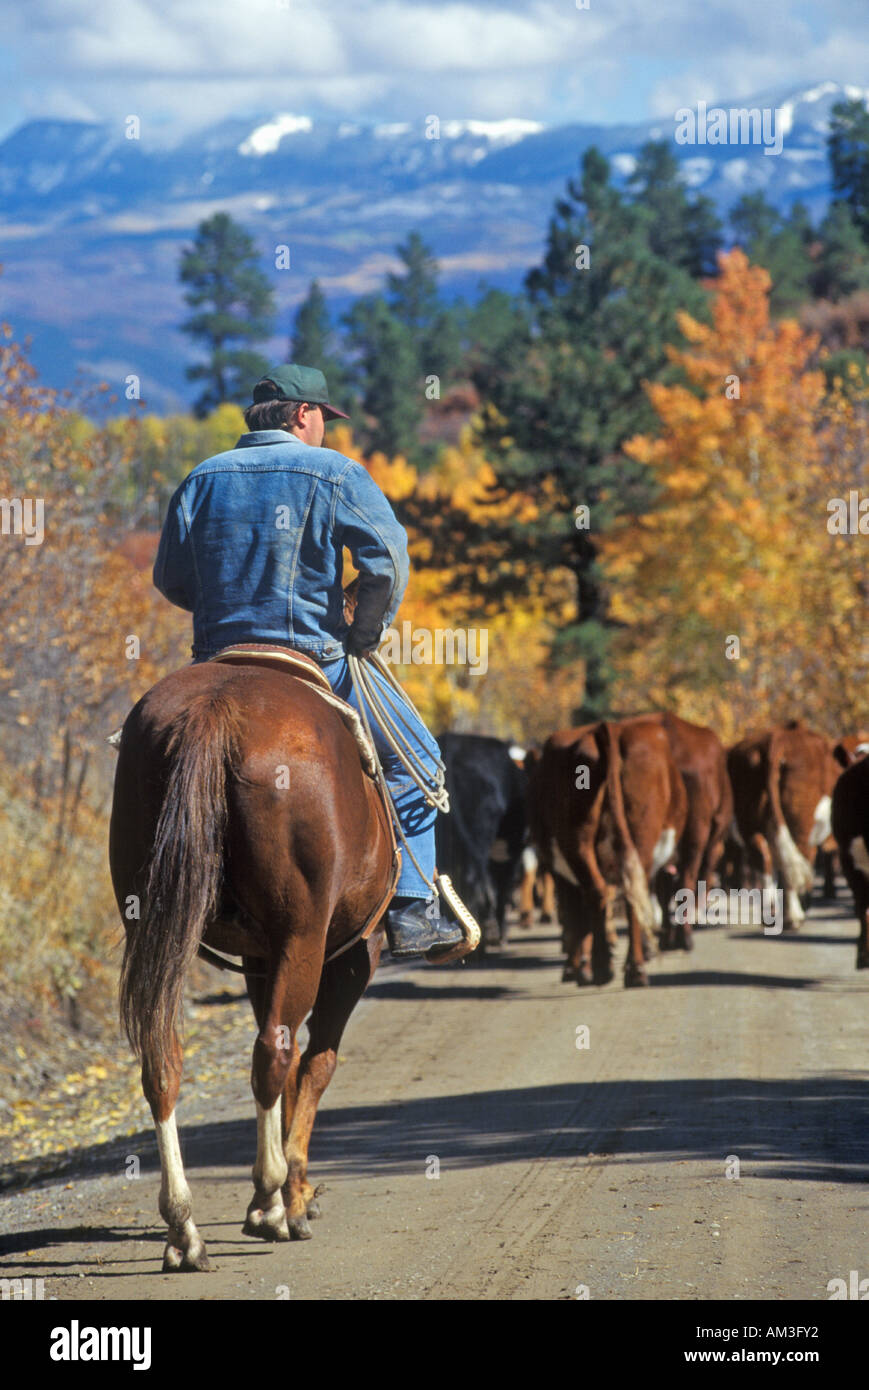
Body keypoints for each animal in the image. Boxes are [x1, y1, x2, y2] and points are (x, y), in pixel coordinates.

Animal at [108, 658, 392, 1273]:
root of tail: (215, 710)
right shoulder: (353, 954)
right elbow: (316, 1063)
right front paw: (297, 1194)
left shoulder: (261, 957)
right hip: (305, 937)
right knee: (274, 1054)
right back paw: (269, 1204)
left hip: (154, 926)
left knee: (163, 1061)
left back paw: (184, 1230)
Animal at [528, 717, 684, 989]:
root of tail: (608, 727)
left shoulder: (560, 871)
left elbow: (575, 918)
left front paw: (576, 967)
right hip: (640, 836)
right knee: (630, 896)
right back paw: (635, 969)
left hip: (576, 842)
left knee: (596, 893)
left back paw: (602, 969)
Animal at [728, 722, 839, 928]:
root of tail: (777, 739)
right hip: (801, 820)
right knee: (797, 860)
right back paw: (793, 916)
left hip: (749, 820)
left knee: (765, 857)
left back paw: (771, 913)